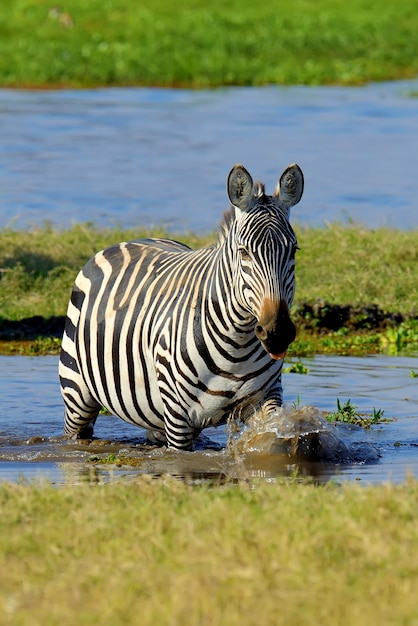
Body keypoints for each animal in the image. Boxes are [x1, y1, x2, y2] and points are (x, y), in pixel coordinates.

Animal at [58, 163, 304, 448]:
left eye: (293, 251)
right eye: (244, 252)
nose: (277, 333)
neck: (238, 343)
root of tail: (125, 241)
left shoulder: (266, 398)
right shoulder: (178, 418)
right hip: (77, 393)